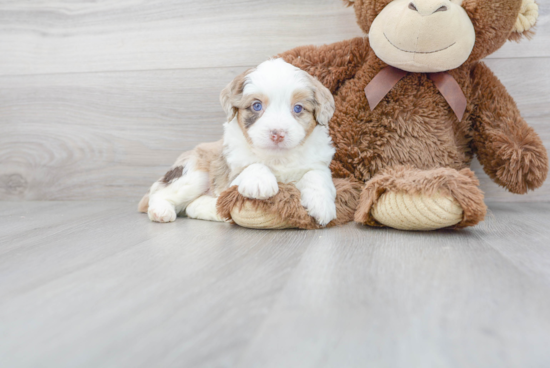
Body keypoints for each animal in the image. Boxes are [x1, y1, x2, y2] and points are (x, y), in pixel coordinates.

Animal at [139, 58, 336, 224]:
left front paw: (322, 205)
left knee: (192, 206)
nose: (277, 134)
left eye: (298, 108)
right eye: (257, 105)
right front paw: (260, 182)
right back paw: (160, 211)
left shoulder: (318, 162)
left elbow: (317, 174)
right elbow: (252, 166)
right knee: (160, 193)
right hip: (195, 172)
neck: (277, 158)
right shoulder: (229, 178)